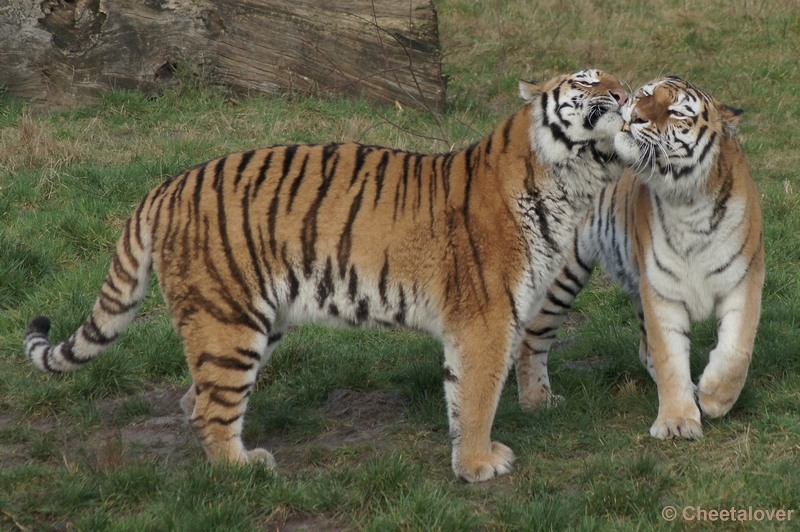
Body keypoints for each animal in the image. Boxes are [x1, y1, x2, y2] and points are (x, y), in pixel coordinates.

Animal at [23, 68, 632, 484]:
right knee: (213, 409)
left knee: (196, 400)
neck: (571, 179)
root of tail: (164, 187)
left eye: (619, 80)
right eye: (588, 80)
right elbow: (477, 393)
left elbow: (471, 392)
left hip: (255, 321)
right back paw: (243, 469)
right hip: (230, 320)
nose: (627, 95)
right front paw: (479, 464)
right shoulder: (485, 319)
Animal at [516, 76, 764, 440]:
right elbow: (669, 356)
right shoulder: (660, 290)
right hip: (559, 277)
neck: (688, 202)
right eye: (645, 95)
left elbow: (736, 349)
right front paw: (677, 421)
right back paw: (537, 401)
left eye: (676, 113)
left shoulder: (744, 280)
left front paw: (714, 398)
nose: (635, 116)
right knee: (532, 336)